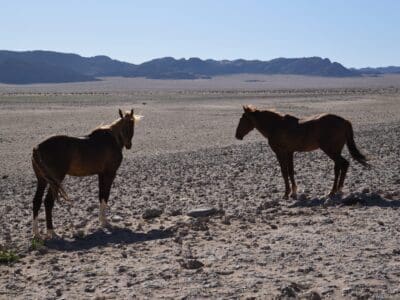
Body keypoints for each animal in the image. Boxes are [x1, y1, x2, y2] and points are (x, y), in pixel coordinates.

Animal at [32, 109, 142, 238]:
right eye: (127, 124)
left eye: (132, 124)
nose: (128, 144)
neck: (112, 139)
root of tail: (37, 148)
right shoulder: (110, 174)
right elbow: (105, 195)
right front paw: (105, 223)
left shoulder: (101, 174)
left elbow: (101, 195)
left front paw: (102, 221)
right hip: (55, 180)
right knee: (48, 202)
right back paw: (52, 232)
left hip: (42, 180)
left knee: (37, 201)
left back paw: (36, 234)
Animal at [234, 105, 368, 199]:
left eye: (242, 119)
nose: (237, 136)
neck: (276, 126)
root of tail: (344, 121)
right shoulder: (289, 152)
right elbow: (291, 171)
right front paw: (293, 192)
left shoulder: (280, 153)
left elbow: (284, 172)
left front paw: (286, 194)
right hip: (335, 151)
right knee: (341, 165)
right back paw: (338, 190)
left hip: (331, 150)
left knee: (342, 165)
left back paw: (333, 191)